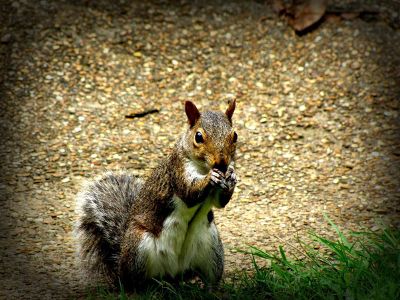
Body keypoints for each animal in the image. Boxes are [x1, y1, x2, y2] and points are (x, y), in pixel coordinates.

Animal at [75, 101, 238, 290]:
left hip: (211, 248)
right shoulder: (176, 170)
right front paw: (210, 178)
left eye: (235, 135)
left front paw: (232, 177)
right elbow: (189, 192)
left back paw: (210, 291)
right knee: (137, 283)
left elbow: (221, 202)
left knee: (210, 278)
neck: (204, 167)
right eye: (198, 137)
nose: (222, 163)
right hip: (139, 249)